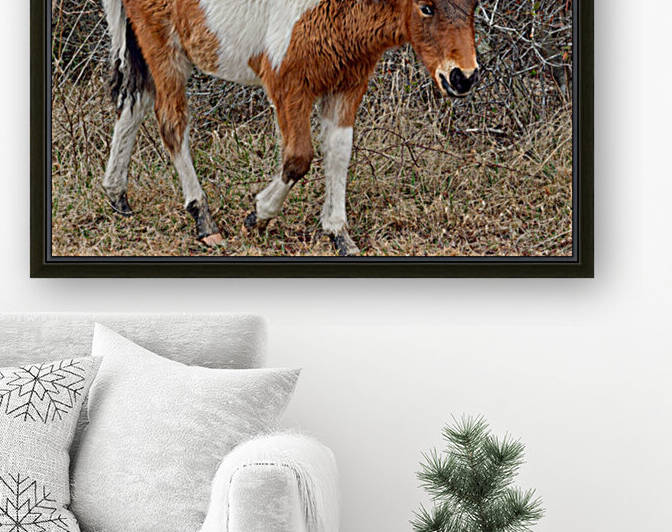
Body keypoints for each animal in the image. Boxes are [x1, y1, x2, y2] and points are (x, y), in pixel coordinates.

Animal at [101, 0, 479, 255]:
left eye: (473, 4)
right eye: (426, 7)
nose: (463, 77)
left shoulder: (347, 85)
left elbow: (338, 155)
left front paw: (339, 234)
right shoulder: (289, 86)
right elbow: (299, 158)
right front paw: (258, 215)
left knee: (134, 103)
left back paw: (116, 194)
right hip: (164, 47)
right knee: (171, 122)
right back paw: (203, 220)